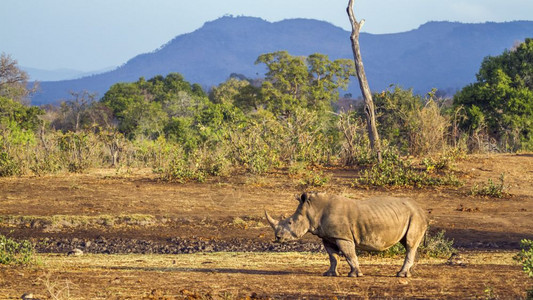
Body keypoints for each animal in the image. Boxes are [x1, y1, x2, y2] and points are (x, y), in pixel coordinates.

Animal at [266, 192, 428, 276]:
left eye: (289, 222)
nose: (277, 238)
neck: (313, 210)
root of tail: (421, 209)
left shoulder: (342, 236)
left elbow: (349, 255)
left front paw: (355, 275)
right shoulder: (328, 237)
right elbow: (333, 256)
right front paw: (330, 274)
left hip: (415, 217)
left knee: (410, 244)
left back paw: (401, 274)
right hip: (411, 216)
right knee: (407, 244)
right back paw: (408, 273)